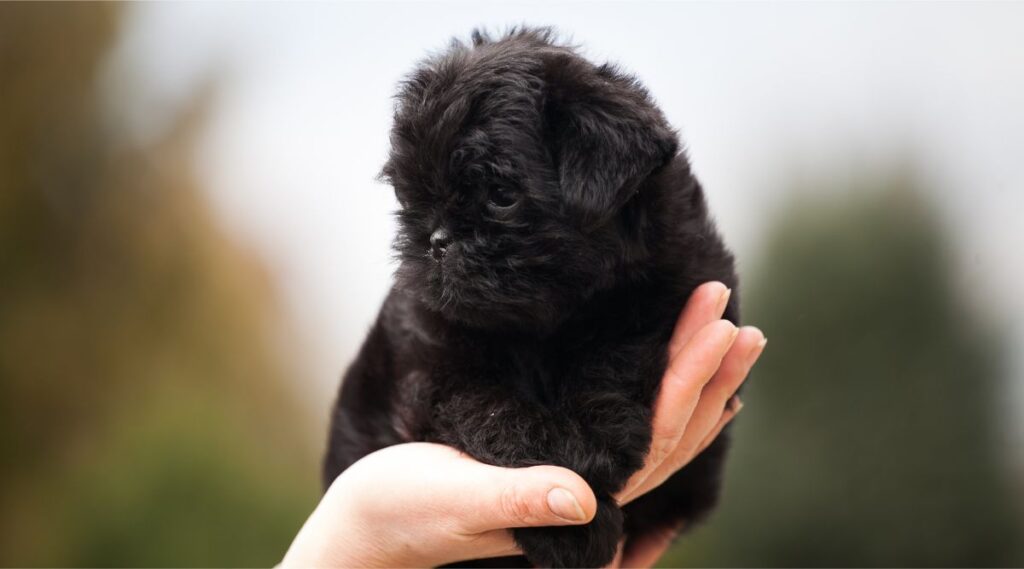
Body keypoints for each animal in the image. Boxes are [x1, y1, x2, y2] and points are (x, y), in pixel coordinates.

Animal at [323, 27, 741, 569]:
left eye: (501, 195)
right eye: (412, 198)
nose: (436, 240)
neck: (541, 323)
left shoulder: (672, 285)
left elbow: (615, 355)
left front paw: (594, 435)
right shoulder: (430, 371)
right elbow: (492, 411)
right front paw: (568, 521)